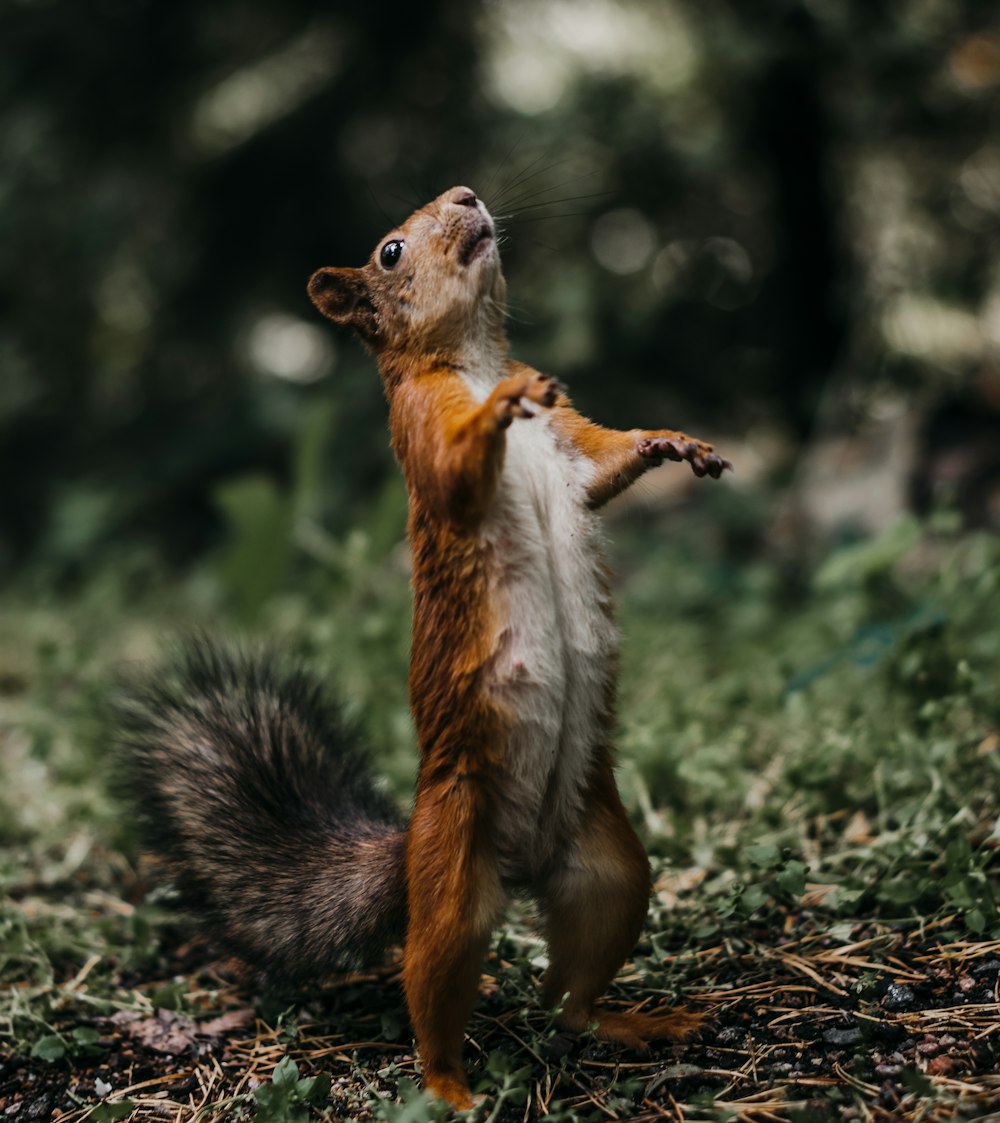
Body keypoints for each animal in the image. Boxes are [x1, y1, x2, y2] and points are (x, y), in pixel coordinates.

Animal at [119, 184, 732, 1105]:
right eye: (390, 252)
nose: (467, 195)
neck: (471, 356)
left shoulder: (573, 445)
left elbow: (606, 462)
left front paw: (672, 442)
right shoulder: (419, 426)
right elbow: (453, 468)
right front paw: (505, 401)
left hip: (611, 871)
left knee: (567, 997)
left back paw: (630, 1022)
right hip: (452, 876)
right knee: (432, 983)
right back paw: (449, 1087)